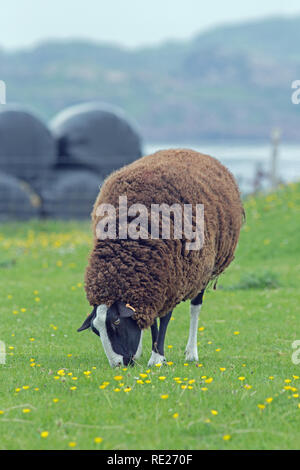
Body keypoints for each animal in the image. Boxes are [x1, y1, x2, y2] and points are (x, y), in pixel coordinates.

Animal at [77, 150, 244, 368]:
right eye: (96, 330)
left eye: (116, 322)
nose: (118, 365)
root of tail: (189, 151)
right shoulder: (154, 283)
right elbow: (149, 318)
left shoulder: (172, 279)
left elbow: (163, 319)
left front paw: (157, 357)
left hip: (203, 271)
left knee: (195, 308)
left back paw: (191, 352)